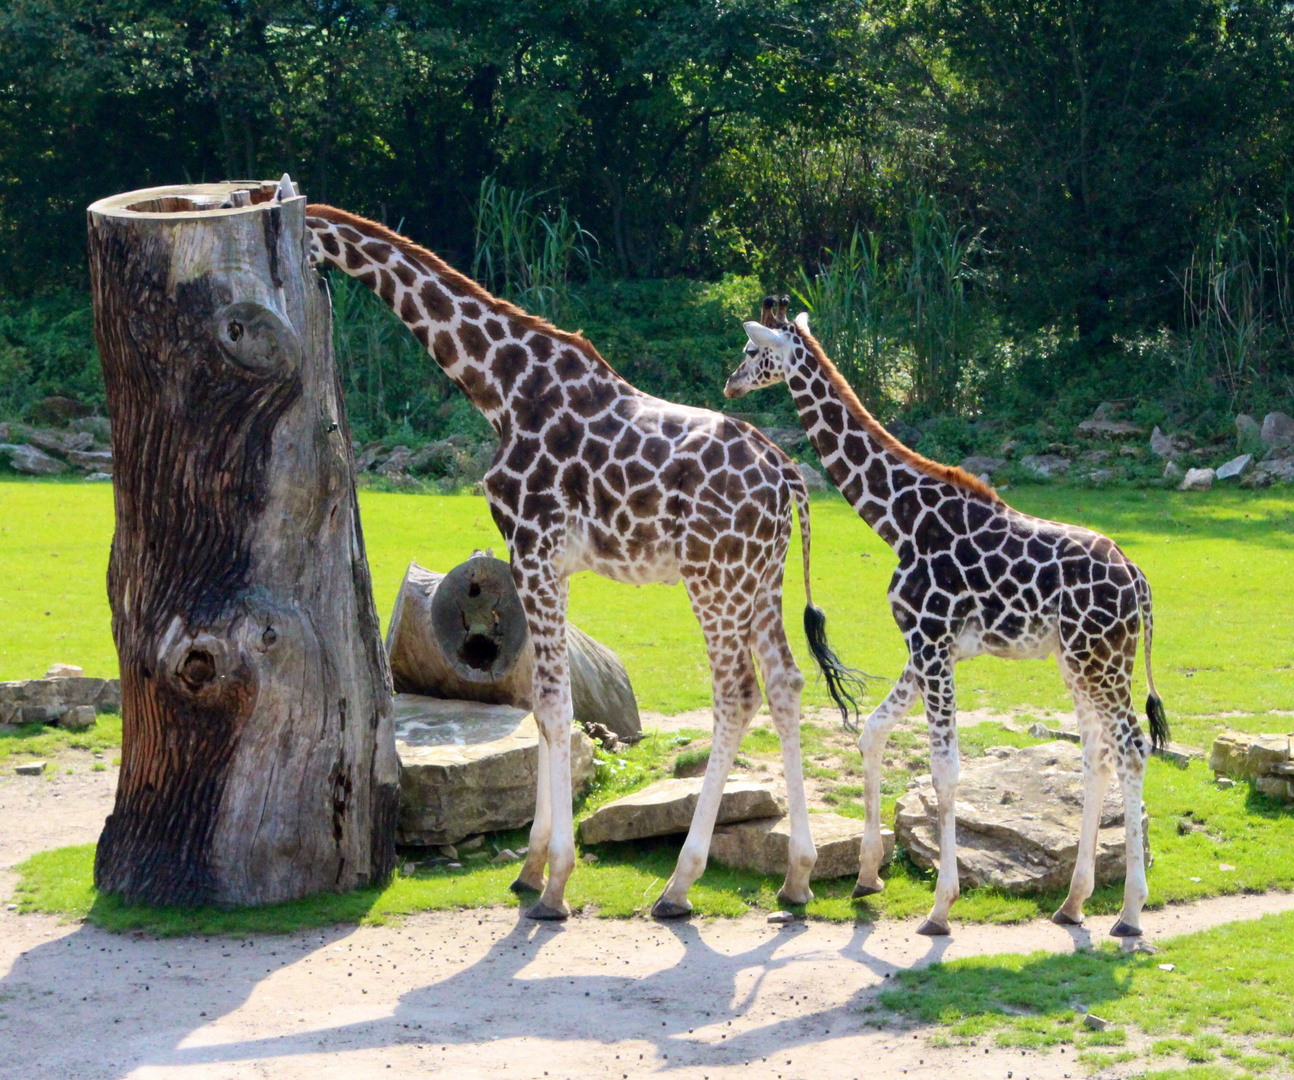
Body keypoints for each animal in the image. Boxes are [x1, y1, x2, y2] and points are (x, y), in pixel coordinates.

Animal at [302, 204, 864, 920]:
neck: (502, 387)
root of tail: (788, 475)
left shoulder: (533, 547)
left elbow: (551, 705)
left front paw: (555, 884)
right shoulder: (549, 562)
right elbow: (549, 704)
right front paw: (531, 868)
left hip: (713, 578)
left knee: (737, 694)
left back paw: (678, 886)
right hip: (759, 579)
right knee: (787, 683)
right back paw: (796, 877)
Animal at [724, 296, 1169, 936]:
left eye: (752, 349)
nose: (730, 383)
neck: (900, 520)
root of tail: (1140, 583)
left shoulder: (931, 640)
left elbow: (945, 769)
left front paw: (940, 907)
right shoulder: (925, 644)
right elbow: (873, 732)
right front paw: (867, 876)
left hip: (1100, 658)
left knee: (1132, 748)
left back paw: (1130, 913)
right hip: (1081, 661)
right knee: (1098, 755)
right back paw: (1073, 903)